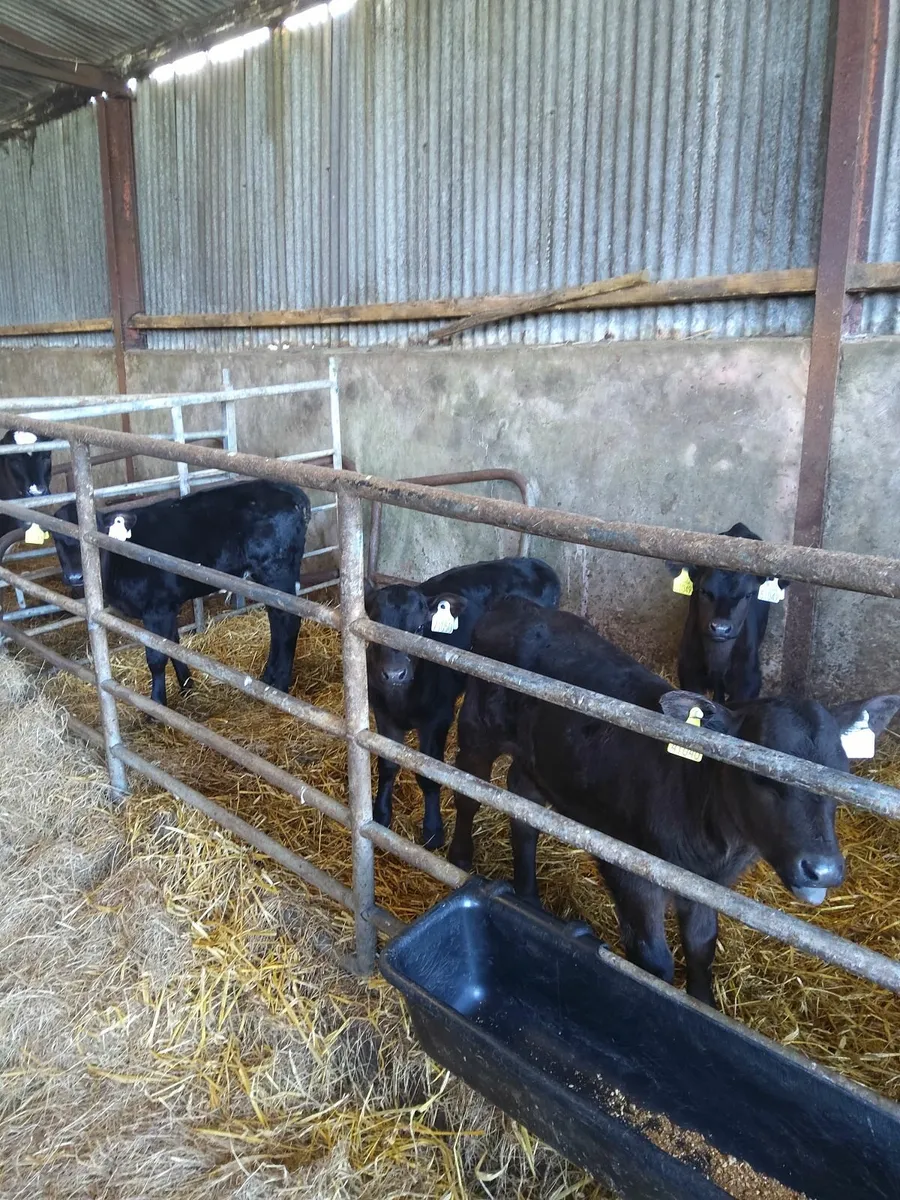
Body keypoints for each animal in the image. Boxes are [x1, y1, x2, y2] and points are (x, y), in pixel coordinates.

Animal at [51, 480, 311, 706]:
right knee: (277, 621)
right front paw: (186, 685)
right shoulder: (167, 606)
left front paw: (156, 704)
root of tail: (289, 490)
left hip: (276, 571)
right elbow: (173, 645)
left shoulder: (157, 608)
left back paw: (281, 684)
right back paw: (268, 679)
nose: (75, 577)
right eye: (56, 537)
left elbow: (156, 657)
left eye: (96, 529)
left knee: (287, 621)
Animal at [365, 557, 561, 849]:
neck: (401, 699)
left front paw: (433, 831)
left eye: (419, 628)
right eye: (375, 623)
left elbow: (428, 775)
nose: (394, 673)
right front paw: (380, 816)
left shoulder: (437, 718)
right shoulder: (383, 713)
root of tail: (534, 562)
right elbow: (387, 765)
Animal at [448, 597, 900, 1005]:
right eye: (760, 775)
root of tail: (516, 605)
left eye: (842, 773)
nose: (823, 870)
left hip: (538, 759)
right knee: (466, 794)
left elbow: (702, 947)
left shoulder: (705, 886)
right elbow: (654, 960)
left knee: (523, 809)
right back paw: (458, 857)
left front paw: (702, 1004)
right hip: (476, 730)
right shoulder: (631, 871)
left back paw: (527, 895)